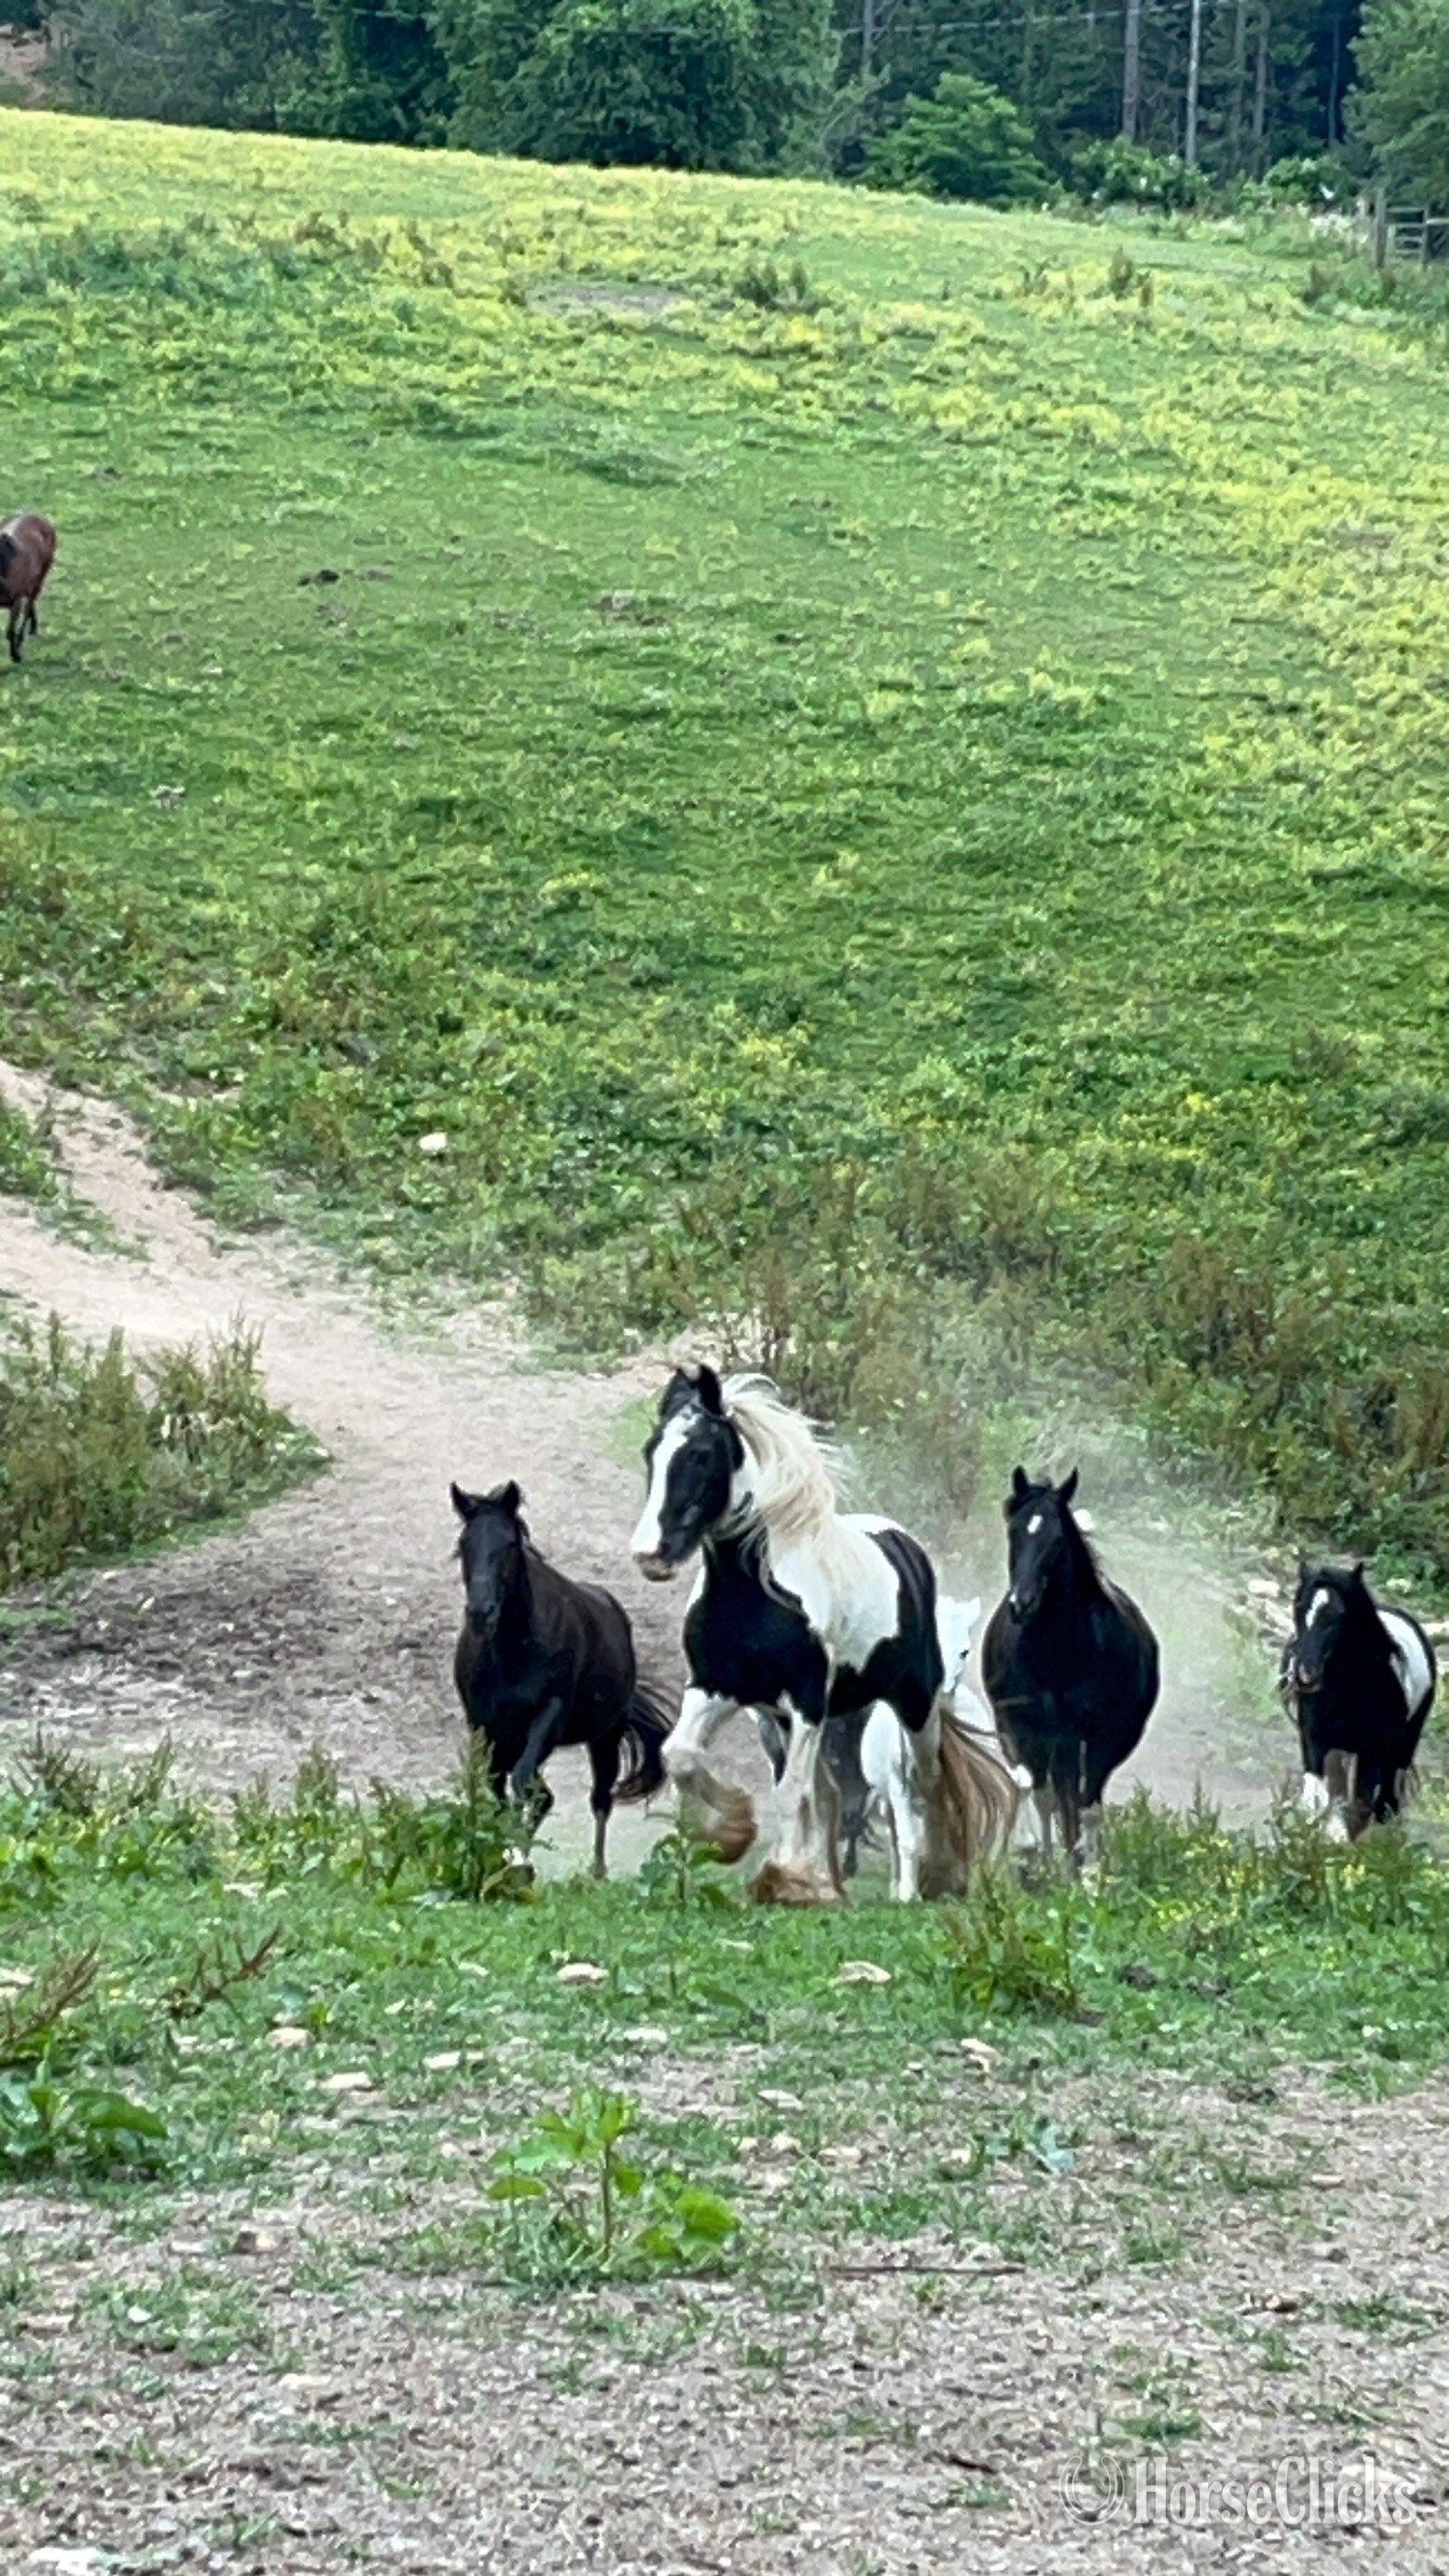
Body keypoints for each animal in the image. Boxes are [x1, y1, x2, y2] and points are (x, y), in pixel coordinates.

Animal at [451, 1479, 671, 1878]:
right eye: (464, 1544)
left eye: (509, 1544)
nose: (479, 1612)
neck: (512, 1652)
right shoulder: (484, 1725)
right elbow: (499, 1789)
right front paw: (505, 1856)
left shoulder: (550, 1714)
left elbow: (523, 1783)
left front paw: (515, 1856)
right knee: (543, 1795)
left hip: (605, 1736)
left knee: (599, 1799)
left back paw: (596, 1874)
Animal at [629, 1364, 1009, 1905]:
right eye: (652, 1450)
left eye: (700, 1454)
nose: (651, 1555)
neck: (756, 1592)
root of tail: (904, 1543)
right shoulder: (715, 1687)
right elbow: (679, 1755)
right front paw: (732, 1835)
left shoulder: (805, 1699)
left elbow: (792, 1791)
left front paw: (781, 1878)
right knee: (830, 1793)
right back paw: (829, 1884)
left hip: (913, 1703)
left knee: (927, 1781)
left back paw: (939, 1875)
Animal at [981, 1468, 1159, 1871]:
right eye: (1013, 1530)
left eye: (1058, 1538)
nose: (1022, 1604)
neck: (1057, 1657)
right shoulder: (1023, 1728)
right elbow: (1041, 1794)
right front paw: (1044, 1863)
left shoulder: (1101, 1735)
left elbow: (1088, 1805)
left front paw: (1090, 1872)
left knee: (1081, 1798)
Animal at [1281, 1560, 1435, 1841]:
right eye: (1299, 1607)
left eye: (1340, 1615)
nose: (1305, 1673)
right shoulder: (1315, 1741)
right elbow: (1317, 1798)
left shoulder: (1374, 1752)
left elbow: (1365, 1803)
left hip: (1400, 1750)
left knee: (1385, 1797)